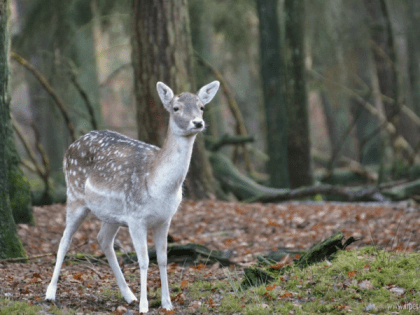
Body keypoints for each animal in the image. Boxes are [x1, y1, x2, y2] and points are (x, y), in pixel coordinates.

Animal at [46, 81, 220, 314]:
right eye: (176, 108)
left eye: (202, 107)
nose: (198, 122)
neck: (159, 186)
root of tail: (70, 147)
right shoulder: (137, 218)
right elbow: (144, 260)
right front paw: (145, 305)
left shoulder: (165, 219)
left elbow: (163, 259)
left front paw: (167, 303)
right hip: (75, 196)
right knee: (65, 240)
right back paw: (50, 293)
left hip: (112, 214)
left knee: (103, 239)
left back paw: (129, 295)